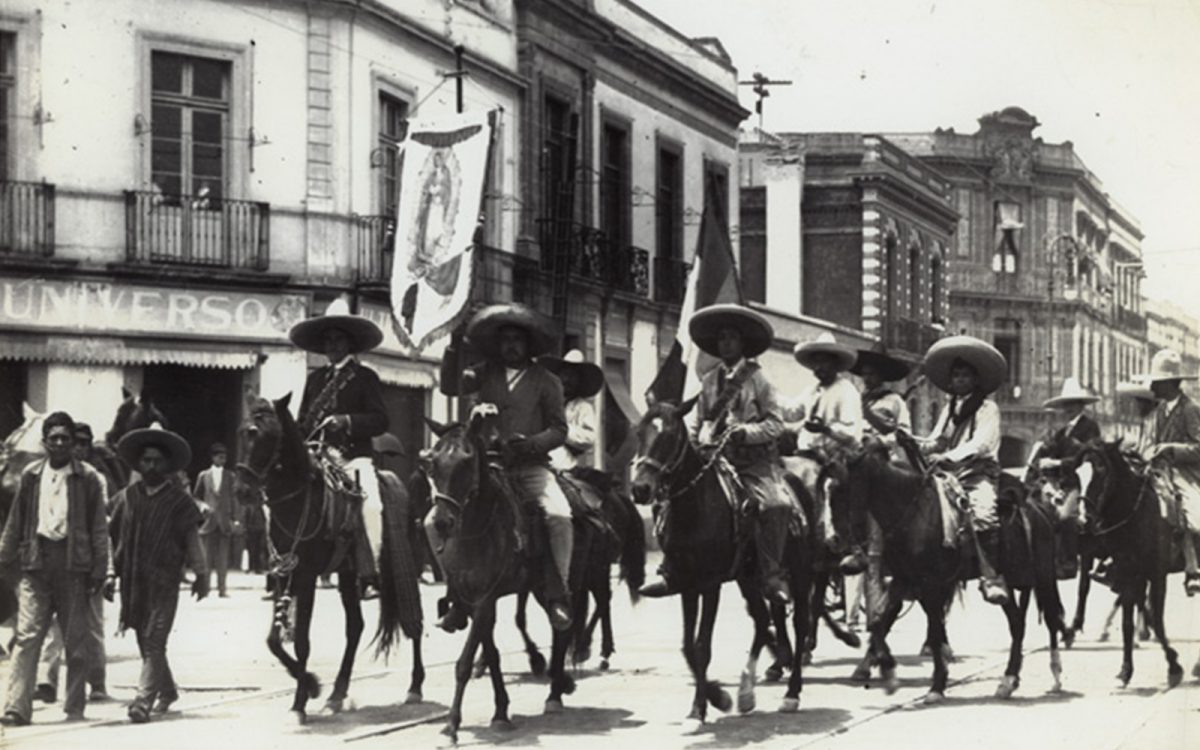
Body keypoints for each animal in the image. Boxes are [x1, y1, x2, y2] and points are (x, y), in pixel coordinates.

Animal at [231, 396, 424, 724]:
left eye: (268, 436)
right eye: (244, 432)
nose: (243, 491)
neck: (297, 500)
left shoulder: (306, 576)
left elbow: (301, 641)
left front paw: (301, 700)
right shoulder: (283, 573)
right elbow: (274, 640)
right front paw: (311, 685)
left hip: (403, 562)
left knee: (413, 618)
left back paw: (415, 685)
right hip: (347, 574)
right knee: (355, 627)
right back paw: (337, 693)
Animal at [420, 410, 597, 744]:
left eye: (467, 461)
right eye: (431, 462)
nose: (442, 522)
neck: (475, 530)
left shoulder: (485, 598)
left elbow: (464, 663)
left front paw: (452, 725)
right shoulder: (475, 602)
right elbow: (491, 654)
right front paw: (500, 713)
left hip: (566, 581)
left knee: (562, 630)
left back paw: (555, 693)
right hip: (538, 587)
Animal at [628, 400, 816, 724]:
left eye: (669, 436)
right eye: (639, 433)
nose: (640, 488)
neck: (695, 507)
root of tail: (795, 481)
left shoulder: (709, 583)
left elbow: (702, 646)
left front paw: (703, 706)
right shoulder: (687, 584)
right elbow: (688, 646)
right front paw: (713, 698)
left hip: (800, 575)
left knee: (800, 623)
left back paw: (791, 693)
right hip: (748, 578)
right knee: (762, 620)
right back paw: (746, 693)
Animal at [844, 439, 1070, 700]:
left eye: (851, 486)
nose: (853, 550)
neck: (915, 512)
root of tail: (1038, 511)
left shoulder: (930, 584)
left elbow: (932, 627)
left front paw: (936, 684)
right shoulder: (908, 580)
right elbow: (883, 618)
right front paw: (886, 672)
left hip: (1044, 576)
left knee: (1051, 618)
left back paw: (1056, 675)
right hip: (1013, 584)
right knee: (1017, 624)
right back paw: (1008, 680)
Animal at [1070, 441, 1190, 686]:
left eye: (1101, 472)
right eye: (1077, 475)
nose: (1082, 523)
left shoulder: (1157, 574)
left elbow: (1158, 621)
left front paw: (1174, 666)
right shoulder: (1127, 572)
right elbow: (1127, 621)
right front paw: (1126, 670)